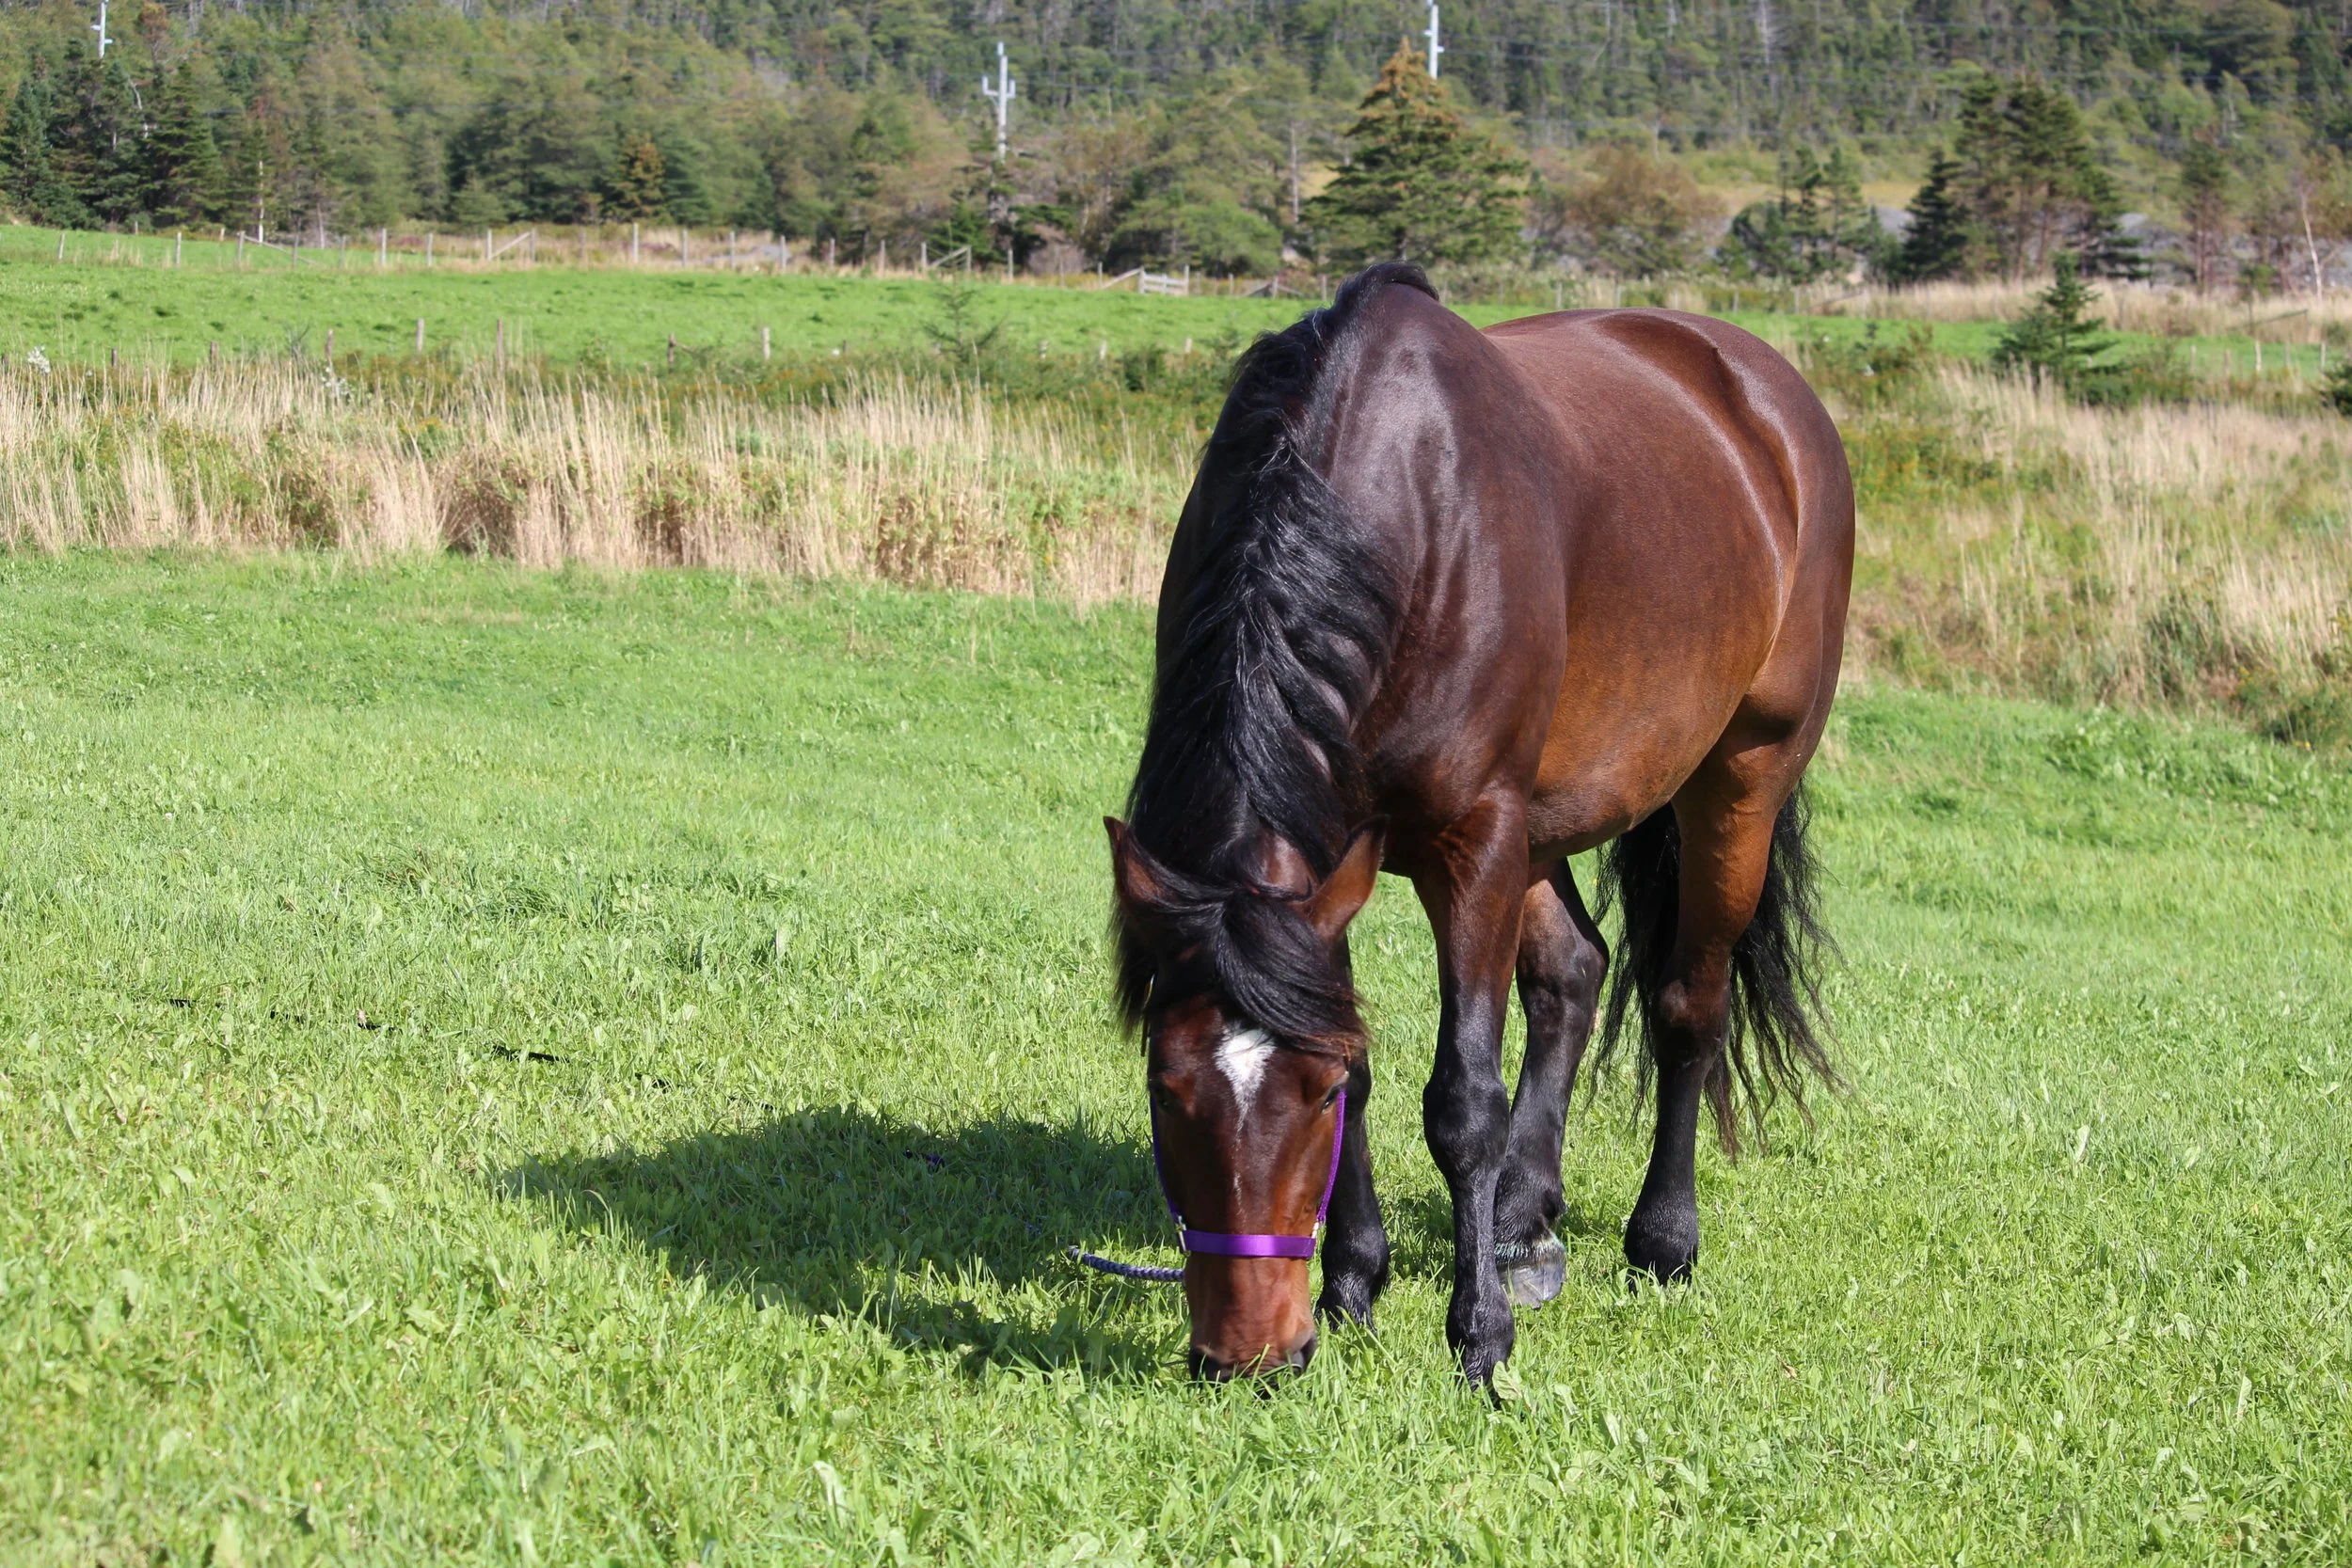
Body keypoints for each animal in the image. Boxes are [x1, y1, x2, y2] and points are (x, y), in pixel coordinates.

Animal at [1103, 262, 1852, 1383]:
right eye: (1164, 1090)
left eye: (1308, 1099)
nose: (1250, 1354)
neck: (1393, 516)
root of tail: (1769, 396)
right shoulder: (1344, 858)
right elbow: (1373, 1052)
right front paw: (1355, 1281)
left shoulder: (1473, 841)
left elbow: (1462, 1102)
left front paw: (1478, 1336)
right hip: (1539, 825)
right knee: (1576, 969)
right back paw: (1525, 1223)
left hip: (1735, 783)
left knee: (1688, 1005)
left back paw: (1661, 1240)